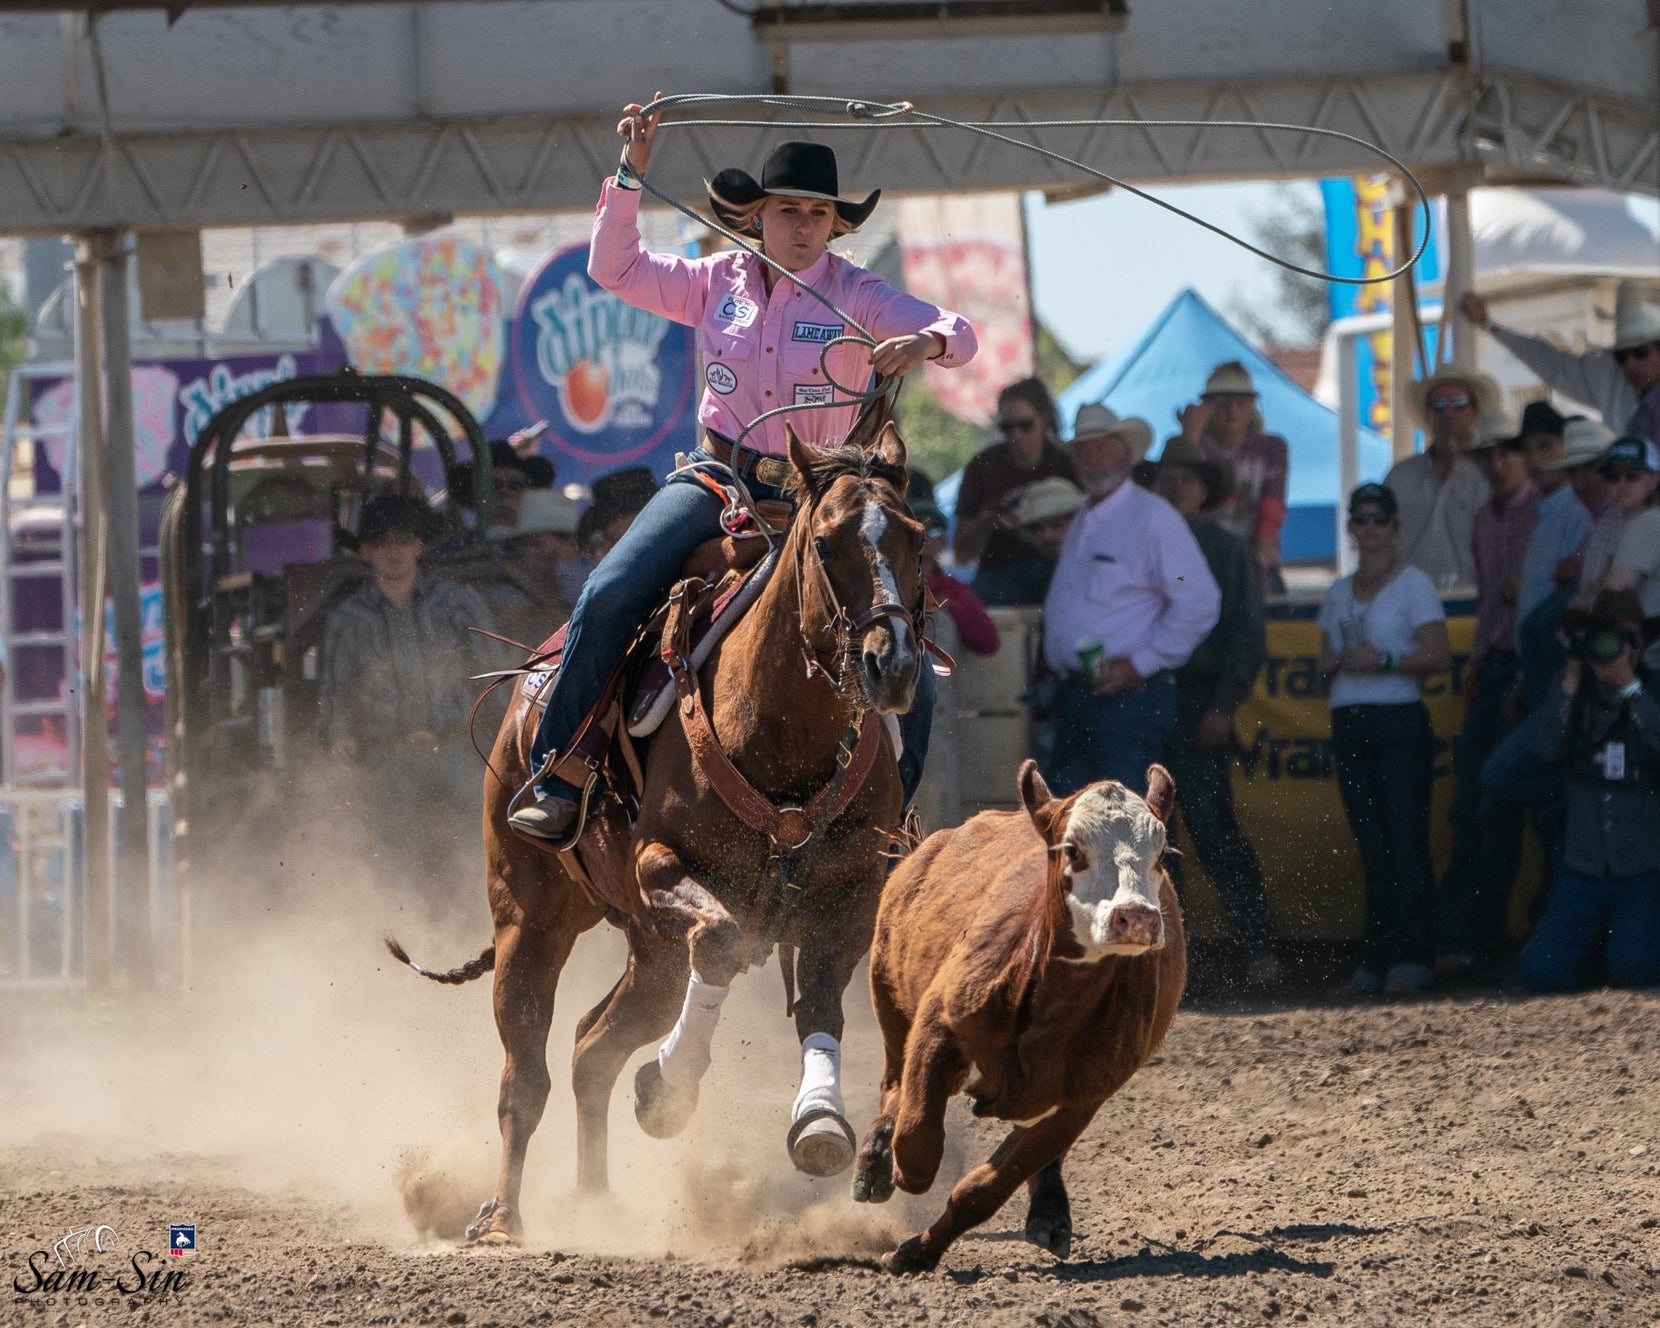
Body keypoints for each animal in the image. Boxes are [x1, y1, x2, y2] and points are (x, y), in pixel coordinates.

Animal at [396, 428, 929, 1248]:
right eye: (828, 541)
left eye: (916, 537)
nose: (892, 663)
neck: (781, 729)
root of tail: (525, 691)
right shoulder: (662, 867)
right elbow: (722, 939)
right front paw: (667, 1093)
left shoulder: (853, 894)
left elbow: (819, 1004)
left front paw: (817, 1122)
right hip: (530, 917)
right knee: (527, 1073)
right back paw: (504, 1217)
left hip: (651, 955)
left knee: (590, 1050)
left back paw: (595, 1204)